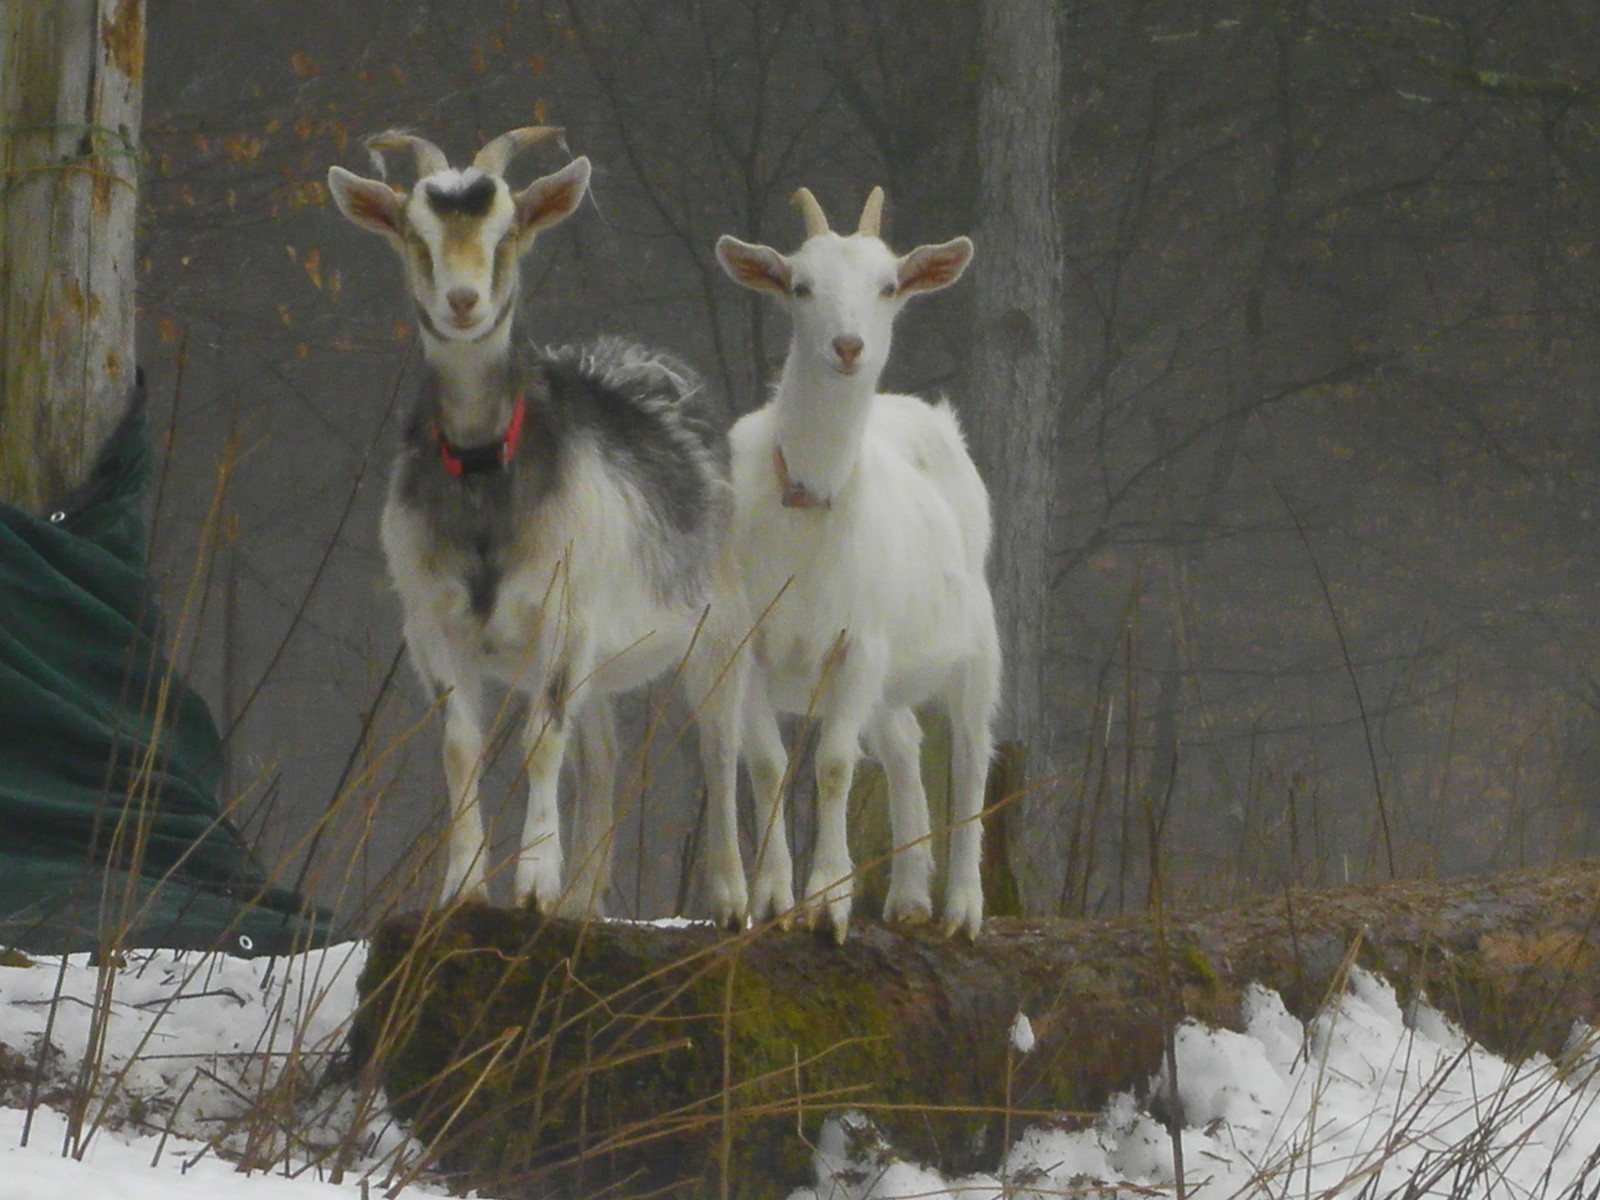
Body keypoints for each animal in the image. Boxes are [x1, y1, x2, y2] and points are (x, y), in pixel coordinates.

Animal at [327, 128, 750, 922]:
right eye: (416, 235)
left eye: (508, 231)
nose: (463, 302)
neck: (486, 483)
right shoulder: (433, 626)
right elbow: (462, 746)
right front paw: (465, 887)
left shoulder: (563, 613)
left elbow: (539, 742)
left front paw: (531, 884)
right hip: (605, 656)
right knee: (604, 756)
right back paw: (584, 900)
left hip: (722, 625)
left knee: (722, 744)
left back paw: (735, 896)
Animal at [715, 186, 1001, 940]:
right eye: (800, 285)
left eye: (888, 285)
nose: (848, 346)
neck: (806, 500)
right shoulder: (745, 644)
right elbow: (768, 765)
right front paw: (772, 899)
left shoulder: (857, 644)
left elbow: (836, 767)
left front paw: (827, 901)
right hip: (891, 678)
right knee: (904, 743)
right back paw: (906, 897)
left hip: (976, 641)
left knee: (971, 750)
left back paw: (962, 907)